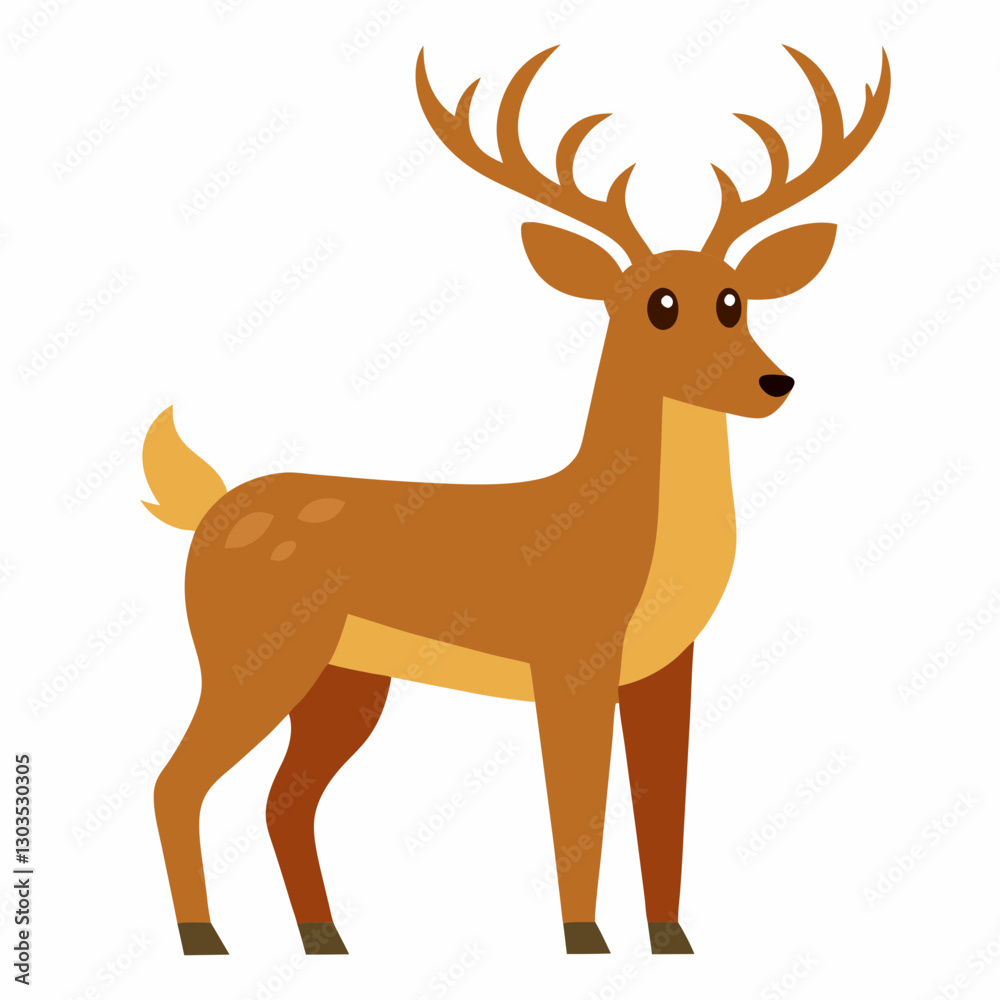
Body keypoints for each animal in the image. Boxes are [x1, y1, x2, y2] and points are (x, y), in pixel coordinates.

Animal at [144, 43, 889, 956]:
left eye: (733, 299)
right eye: (659, 304)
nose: (772, 383)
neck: (617, 524)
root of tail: (207, 508)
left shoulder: (665, 669)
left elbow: (664, 809)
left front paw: (670, 942)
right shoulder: (569, 661)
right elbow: (576, 807)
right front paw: (585, 941)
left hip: (344, 683)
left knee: (284, 801)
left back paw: (327, 941)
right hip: (249, 662)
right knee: (176, 784)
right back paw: (202, 940)